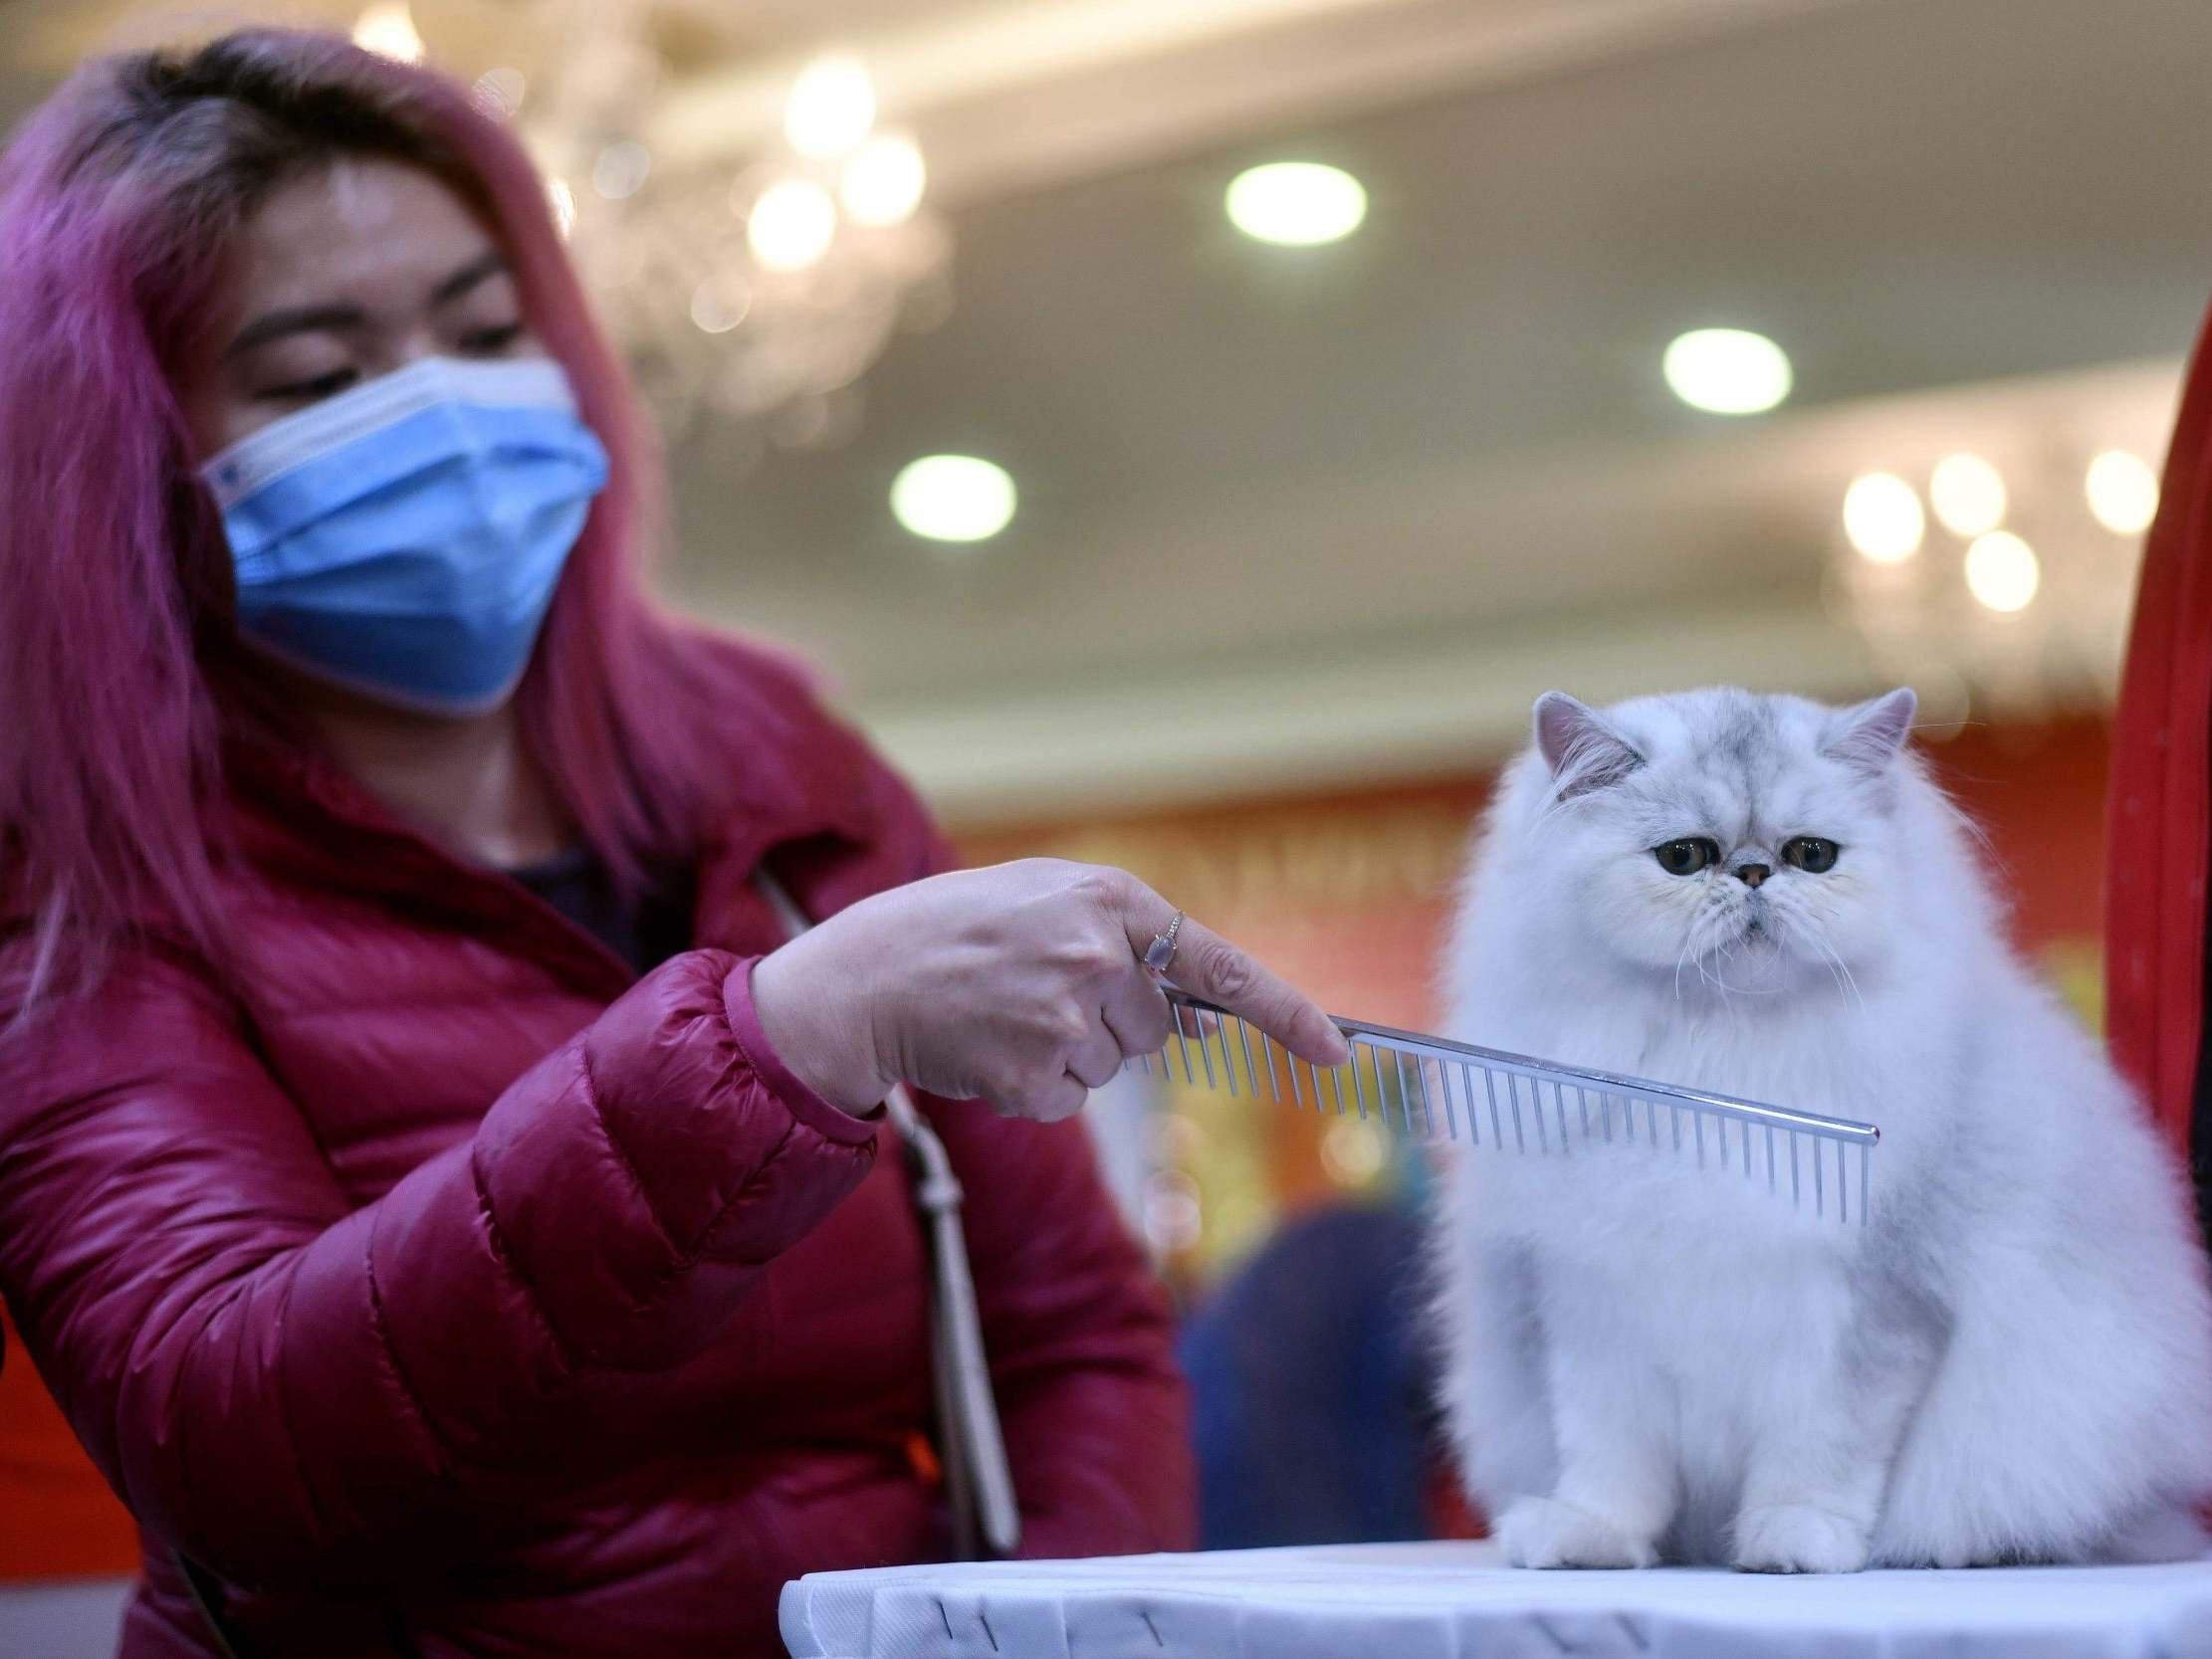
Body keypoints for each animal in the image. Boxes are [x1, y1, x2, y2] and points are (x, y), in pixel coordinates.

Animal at [1433, 686, 2212, 1574]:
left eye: (1812, 855)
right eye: (1683, 857)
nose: (1753, 872)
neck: (1721, 1063)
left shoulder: (1872, 1311)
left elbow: (1821, 1453)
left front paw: (1793, 1543)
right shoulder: (1593, 1303)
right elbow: (1610, 1461)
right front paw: (1588, 1539)